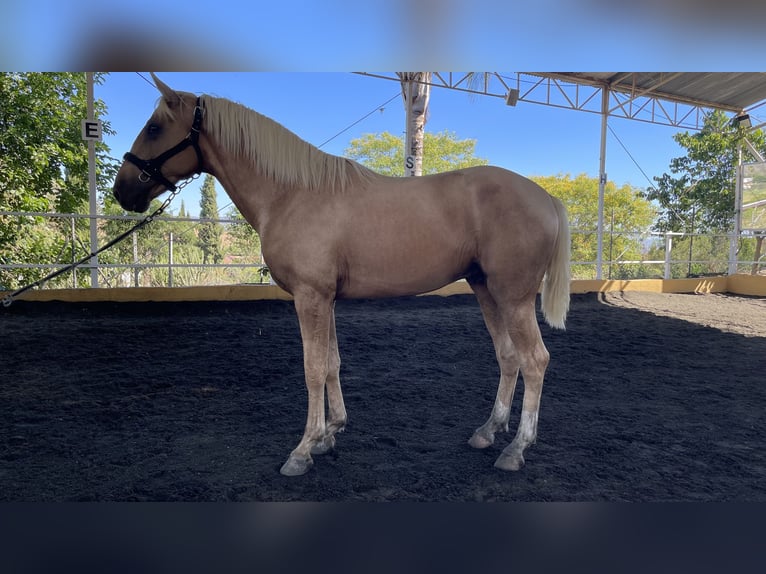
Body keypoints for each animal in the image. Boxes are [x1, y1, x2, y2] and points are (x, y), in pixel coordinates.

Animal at [112, 73, 568, 476]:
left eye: (154, 128)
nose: (122, 191)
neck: (291, 194)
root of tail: (545, 197)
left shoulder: (309, 297)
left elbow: (313, 368)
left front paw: (302, 450)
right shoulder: (324, 299)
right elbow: (331, 363)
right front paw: (329, 433)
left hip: (513, 297)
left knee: (535, 360)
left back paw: (516, 448)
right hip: (487, 290)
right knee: (508, 357)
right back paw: (489, 431)